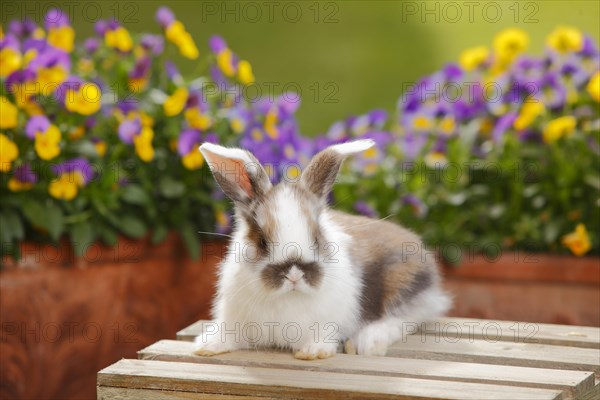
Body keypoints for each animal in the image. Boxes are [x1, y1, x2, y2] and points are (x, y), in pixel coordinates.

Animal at [195, 140, 452, 360]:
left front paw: (313, 352)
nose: (294, 274)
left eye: (317, 238)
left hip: (404, 285)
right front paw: (207, 346)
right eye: (262, 242)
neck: (288, 298)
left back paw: (367, 342)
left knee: (402, 318)